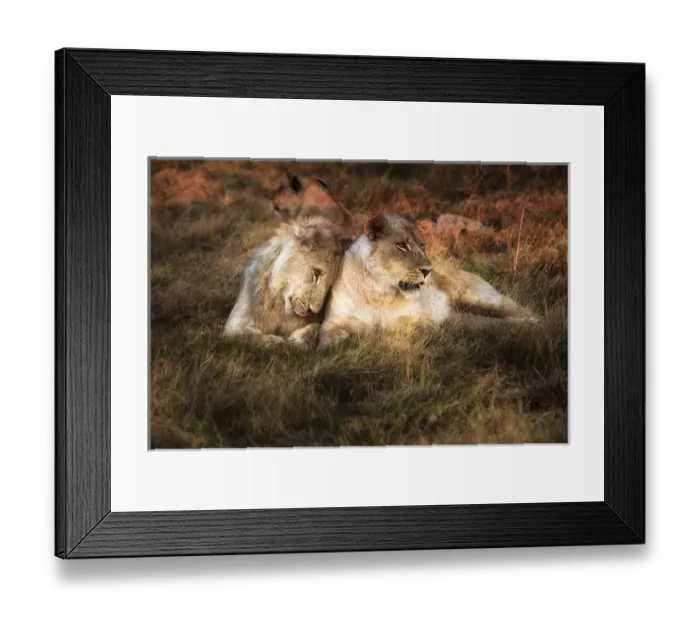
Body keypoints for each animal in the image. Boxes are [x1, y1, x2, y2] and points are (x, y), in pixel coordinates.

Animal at [223, 216, 352, 348]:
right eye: (316, 273)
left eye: (330, 286)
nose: (313, 310)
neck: (281, 307)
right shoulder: (235, 322)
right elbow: (246, 334)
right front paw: (276, 341)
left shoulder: (322, 322)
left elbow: (313, 328)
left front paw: (298, 341)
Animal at [318, 213, 538, 348]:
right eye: (402, 245)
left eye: (422, 245)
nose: (427, 271)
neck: (379, 292)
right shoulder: (333, 323)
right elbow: (328, 340)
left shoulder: (424, 319)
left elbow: (412, 330)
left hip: (484, 299)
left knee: (516, 313)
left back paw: (533, 324)